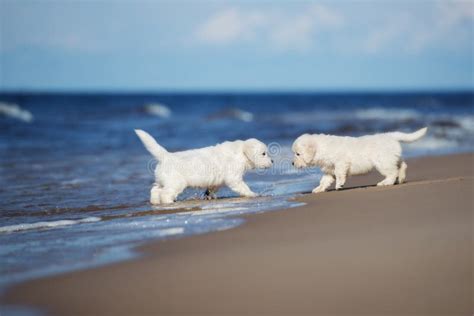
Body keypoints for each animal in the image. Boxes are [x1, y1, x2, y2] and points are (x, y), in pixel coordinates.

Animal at [135, 129, 272, 205]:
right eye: (263, 153)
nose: (272, 161)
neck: (241, 153)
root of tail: (165, 156)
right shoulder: (234, 178)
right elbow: (243, 187)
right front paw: (253, 194)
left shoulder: (217, 181)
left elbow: (212, 188)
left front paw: (209, 196)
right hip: (175, 183)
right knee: (165, 193)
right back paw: (169, 202)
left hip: (162, 180)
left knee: (155, 190)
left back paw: (154, 202)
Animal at [292, 126, 430, 193]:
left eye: (298, 154)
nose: (292, 163)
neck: (322, 148)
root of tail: (390, 135)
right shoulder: (328, 169)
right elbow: (324, 180)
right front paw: (319, 189)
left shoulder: (341, 163)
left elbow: (339, 174)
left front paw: (339, 184)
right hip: (391, 158)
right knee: (402, 165)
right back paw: (400, 179)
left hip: (382, 161)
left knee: (392, 172)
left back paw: (385, 182)